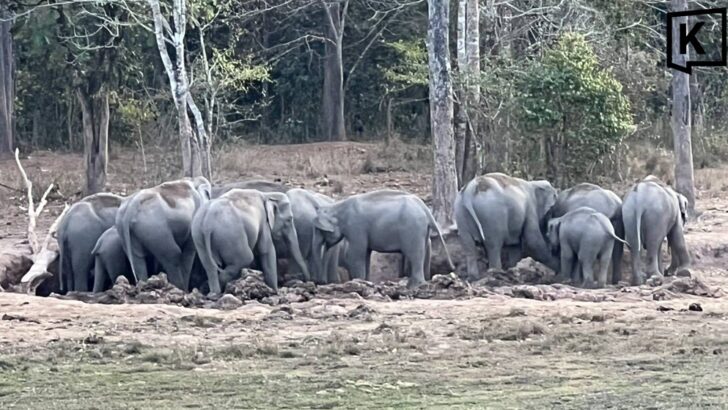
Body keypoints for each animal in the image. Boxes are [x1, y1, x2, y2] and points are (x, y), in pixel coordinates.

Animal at [312, 190, 454, 287]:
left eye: (320, 231)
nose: (320, 282)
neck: (337, 206)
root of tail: (425, 208)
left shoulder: (356, 227)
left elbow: (356, 254)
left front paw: (359, 282)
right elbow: (366, 254)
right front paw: (366, 282)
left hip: (413, 228)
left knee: (414, 255)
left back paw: (414, 286)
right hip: (422, 231)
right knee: (421, 254)